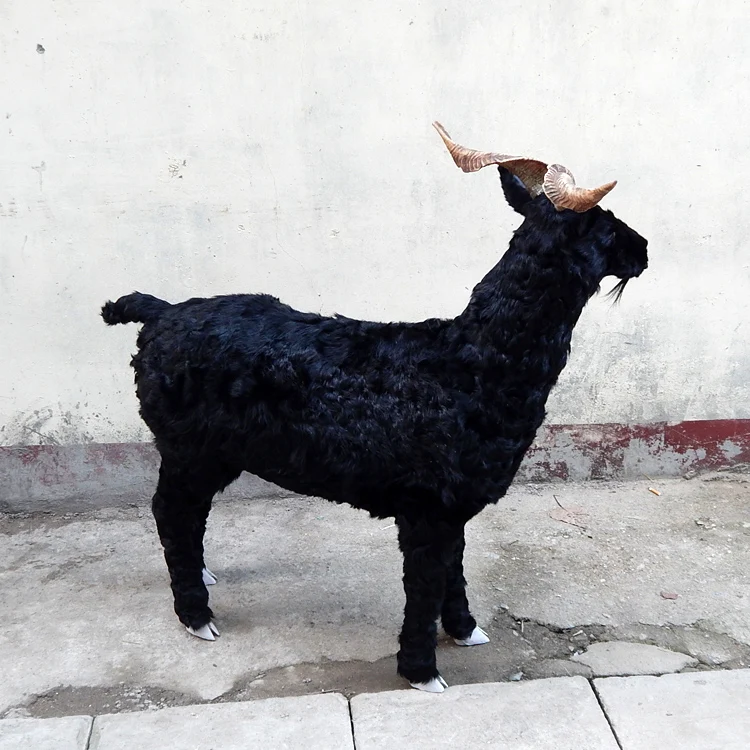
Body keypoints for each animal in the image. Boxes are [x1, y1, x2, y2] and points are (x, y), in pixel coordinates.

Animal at [101, 123, 648, 693]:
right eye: (606, 227)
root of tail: (160, 313)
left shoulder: (452, 507)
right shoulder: (427, 510)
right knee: (170, 511)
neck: (470, 363)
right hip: (189, 451)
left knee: (188, 515)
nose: (645, 249)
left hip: (214, 455)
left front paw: (464, 628)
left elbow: (453, 570)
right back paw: (196, 613)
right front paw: (421, 669)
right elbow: (425, 585)